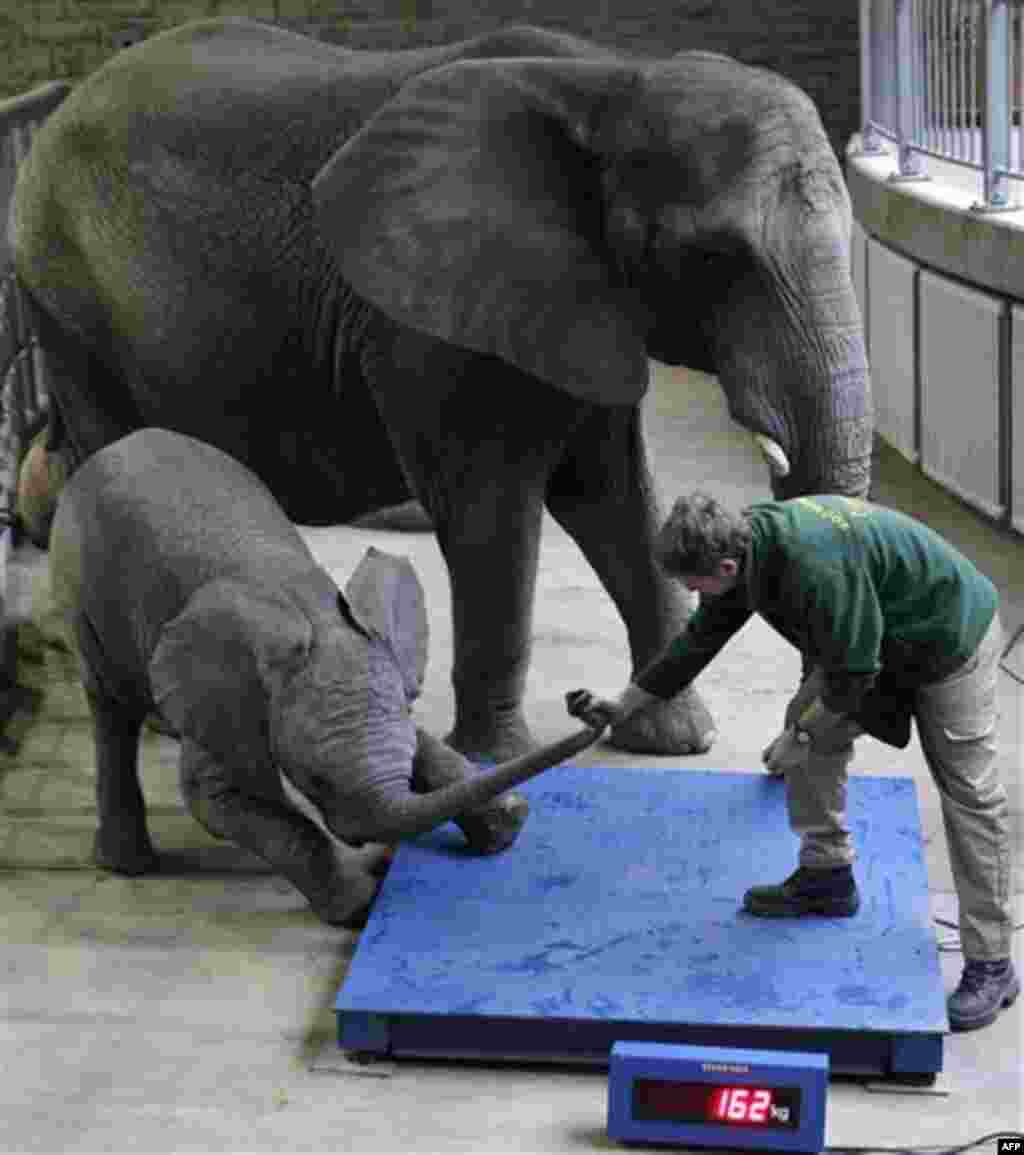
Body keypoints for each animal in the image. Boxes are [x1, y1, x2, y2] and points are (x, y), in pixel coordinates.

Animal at [8, 18, 872, 766]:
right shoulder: (427, 322)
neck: (616, 79)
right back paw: (166, 718)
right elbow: (494, 514)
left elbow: (615, 497)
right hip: (66, 297)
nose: (787, 744)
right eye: (717, 256)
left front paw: (673, 739)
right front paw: (497, 759)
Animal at [51, 434, 600, 928]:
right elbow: (221, 798)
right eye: (316, 780)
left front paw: (505, 823)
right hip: (82, 588)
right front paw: (362, 901)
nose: (583, 699)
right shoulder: (232, 692)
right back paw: (129, 865)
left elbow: (420, 738)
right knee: (110, 706)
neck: (309, 613)